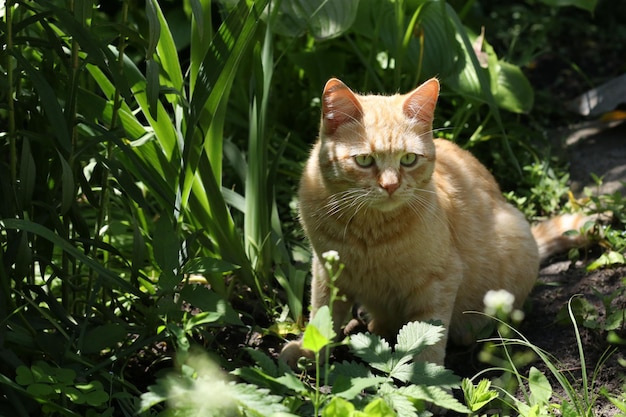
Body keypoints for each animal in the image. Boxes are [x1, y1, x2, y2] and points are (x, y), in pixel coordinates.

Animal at [280, 76, 588, 366]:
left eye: (408, 159)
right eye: (365, 160)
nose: (390, 186)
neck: (372, 232)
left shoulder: (439, 281)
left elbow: (428, 334)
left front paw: (426, 380)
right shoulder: (326, 269)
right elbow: (323, 313)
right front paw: (308, 351)